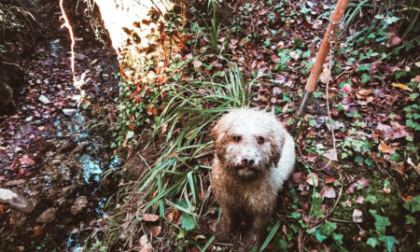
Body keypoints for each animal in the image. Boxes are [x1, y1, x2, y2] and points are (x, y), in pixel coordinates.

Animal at [210, 107, 296, 251]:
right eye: (237, 138)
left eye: (261, 139)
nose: (248, 160)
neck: (243, 183)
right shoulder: (226, 200)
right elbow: (228, 217)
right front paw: (224, 231)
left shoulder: (262, 207)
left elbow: (256, 227)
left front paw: (250, 243)